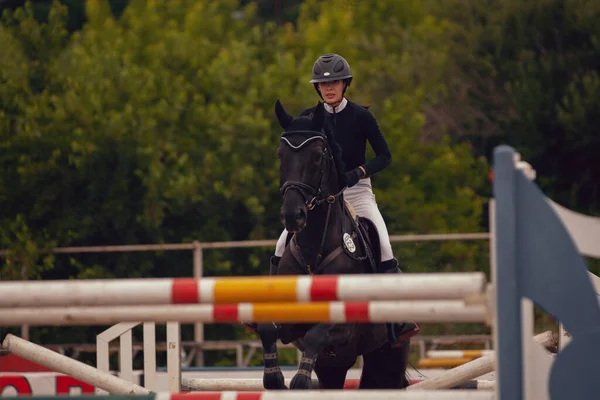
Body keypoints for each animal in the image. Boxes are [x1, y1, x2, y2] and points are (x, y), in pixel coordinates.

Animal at [253, 101, 412, 390]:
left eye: (317, 156)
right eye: (280, 155)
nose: (293, 215)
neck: (314, 249)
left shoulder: (343, 326)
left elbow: (317, 334)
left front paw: (300, 379)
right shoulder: (290, 319)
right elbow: (268, 327)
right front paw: (273, 377)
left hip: (388, 360)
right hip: (335, 368)